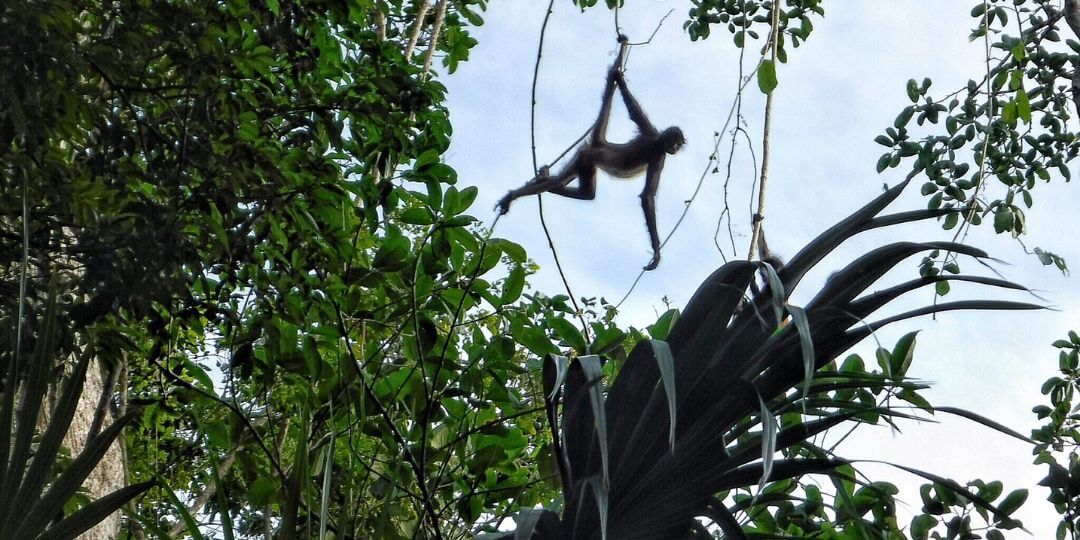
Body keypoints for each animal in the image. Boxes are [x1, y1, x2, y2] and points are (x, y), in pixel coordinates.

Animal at [496, 66, 686, 271]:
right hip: (587, 159)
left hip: (582, 157)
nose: (676, 148)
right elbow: (647, 196)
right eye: (674, 142)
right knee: (576, 188)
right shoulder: (657, 151)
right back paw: (515, 195)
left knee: (580, 190)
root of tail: (601, 145)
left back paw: (545, 180)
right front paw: (656, 255)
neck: (658, 142)